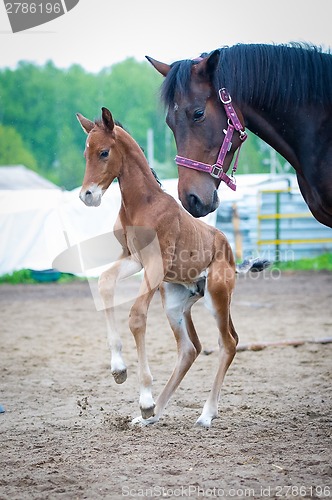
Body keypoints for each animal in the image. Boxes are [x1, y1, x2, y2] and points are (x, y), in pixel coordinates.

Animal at [76, 107, 264, 428]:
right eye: (85, 153)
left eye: (103, 152)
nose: (87, 196)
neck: (142, 205)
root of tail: (229, 253)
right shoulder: (134, 259)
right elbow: (104, 283)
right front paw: (119, 370)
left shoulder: (155, 264)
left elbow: (137, 317)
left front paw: (144, 396)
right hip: (175, 301)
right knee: (190, 349)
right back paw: (152, 415)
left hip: (216, 295)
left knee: (228, 342)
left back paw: (204, 414)